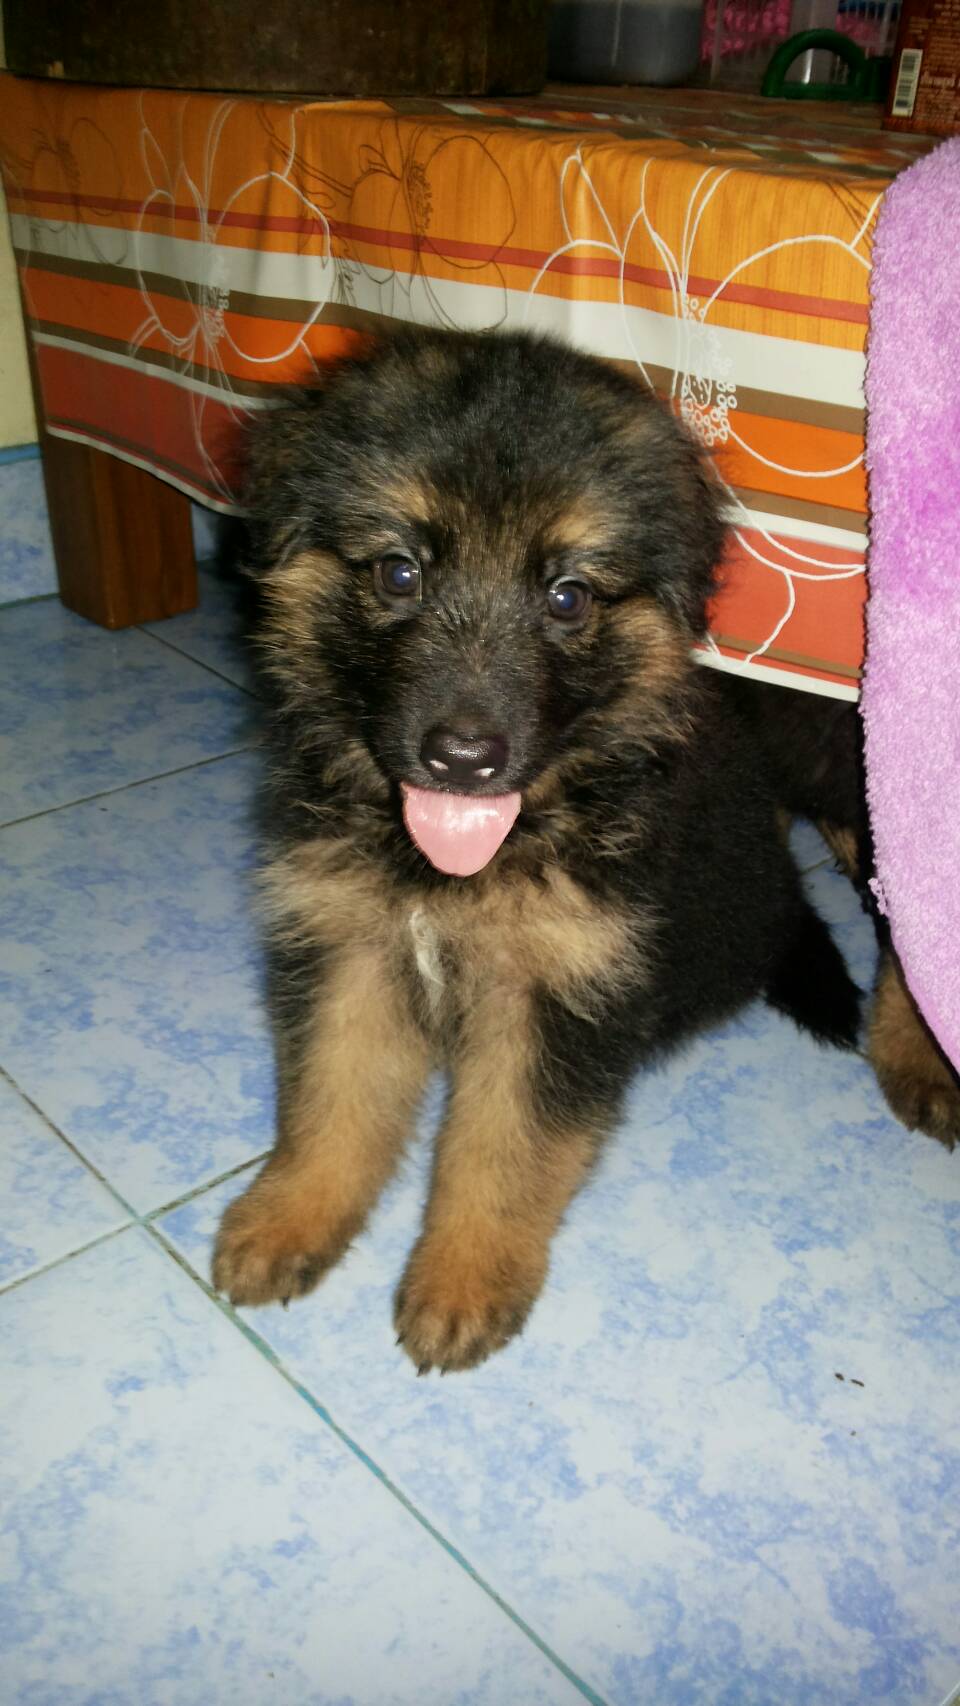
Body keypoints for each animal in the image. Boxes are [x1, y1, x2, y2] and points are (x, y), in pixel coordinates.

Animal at [212, 328, 862, 1373]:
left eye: (566, 596)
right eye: (399, 572)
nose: (464, 758)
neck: (456, 872)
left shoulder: (557, 995)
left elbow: (502, 1153)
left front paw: (462, 1281)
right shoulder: (352, 947)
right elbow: (330, 1101)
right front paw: (289, 1219)